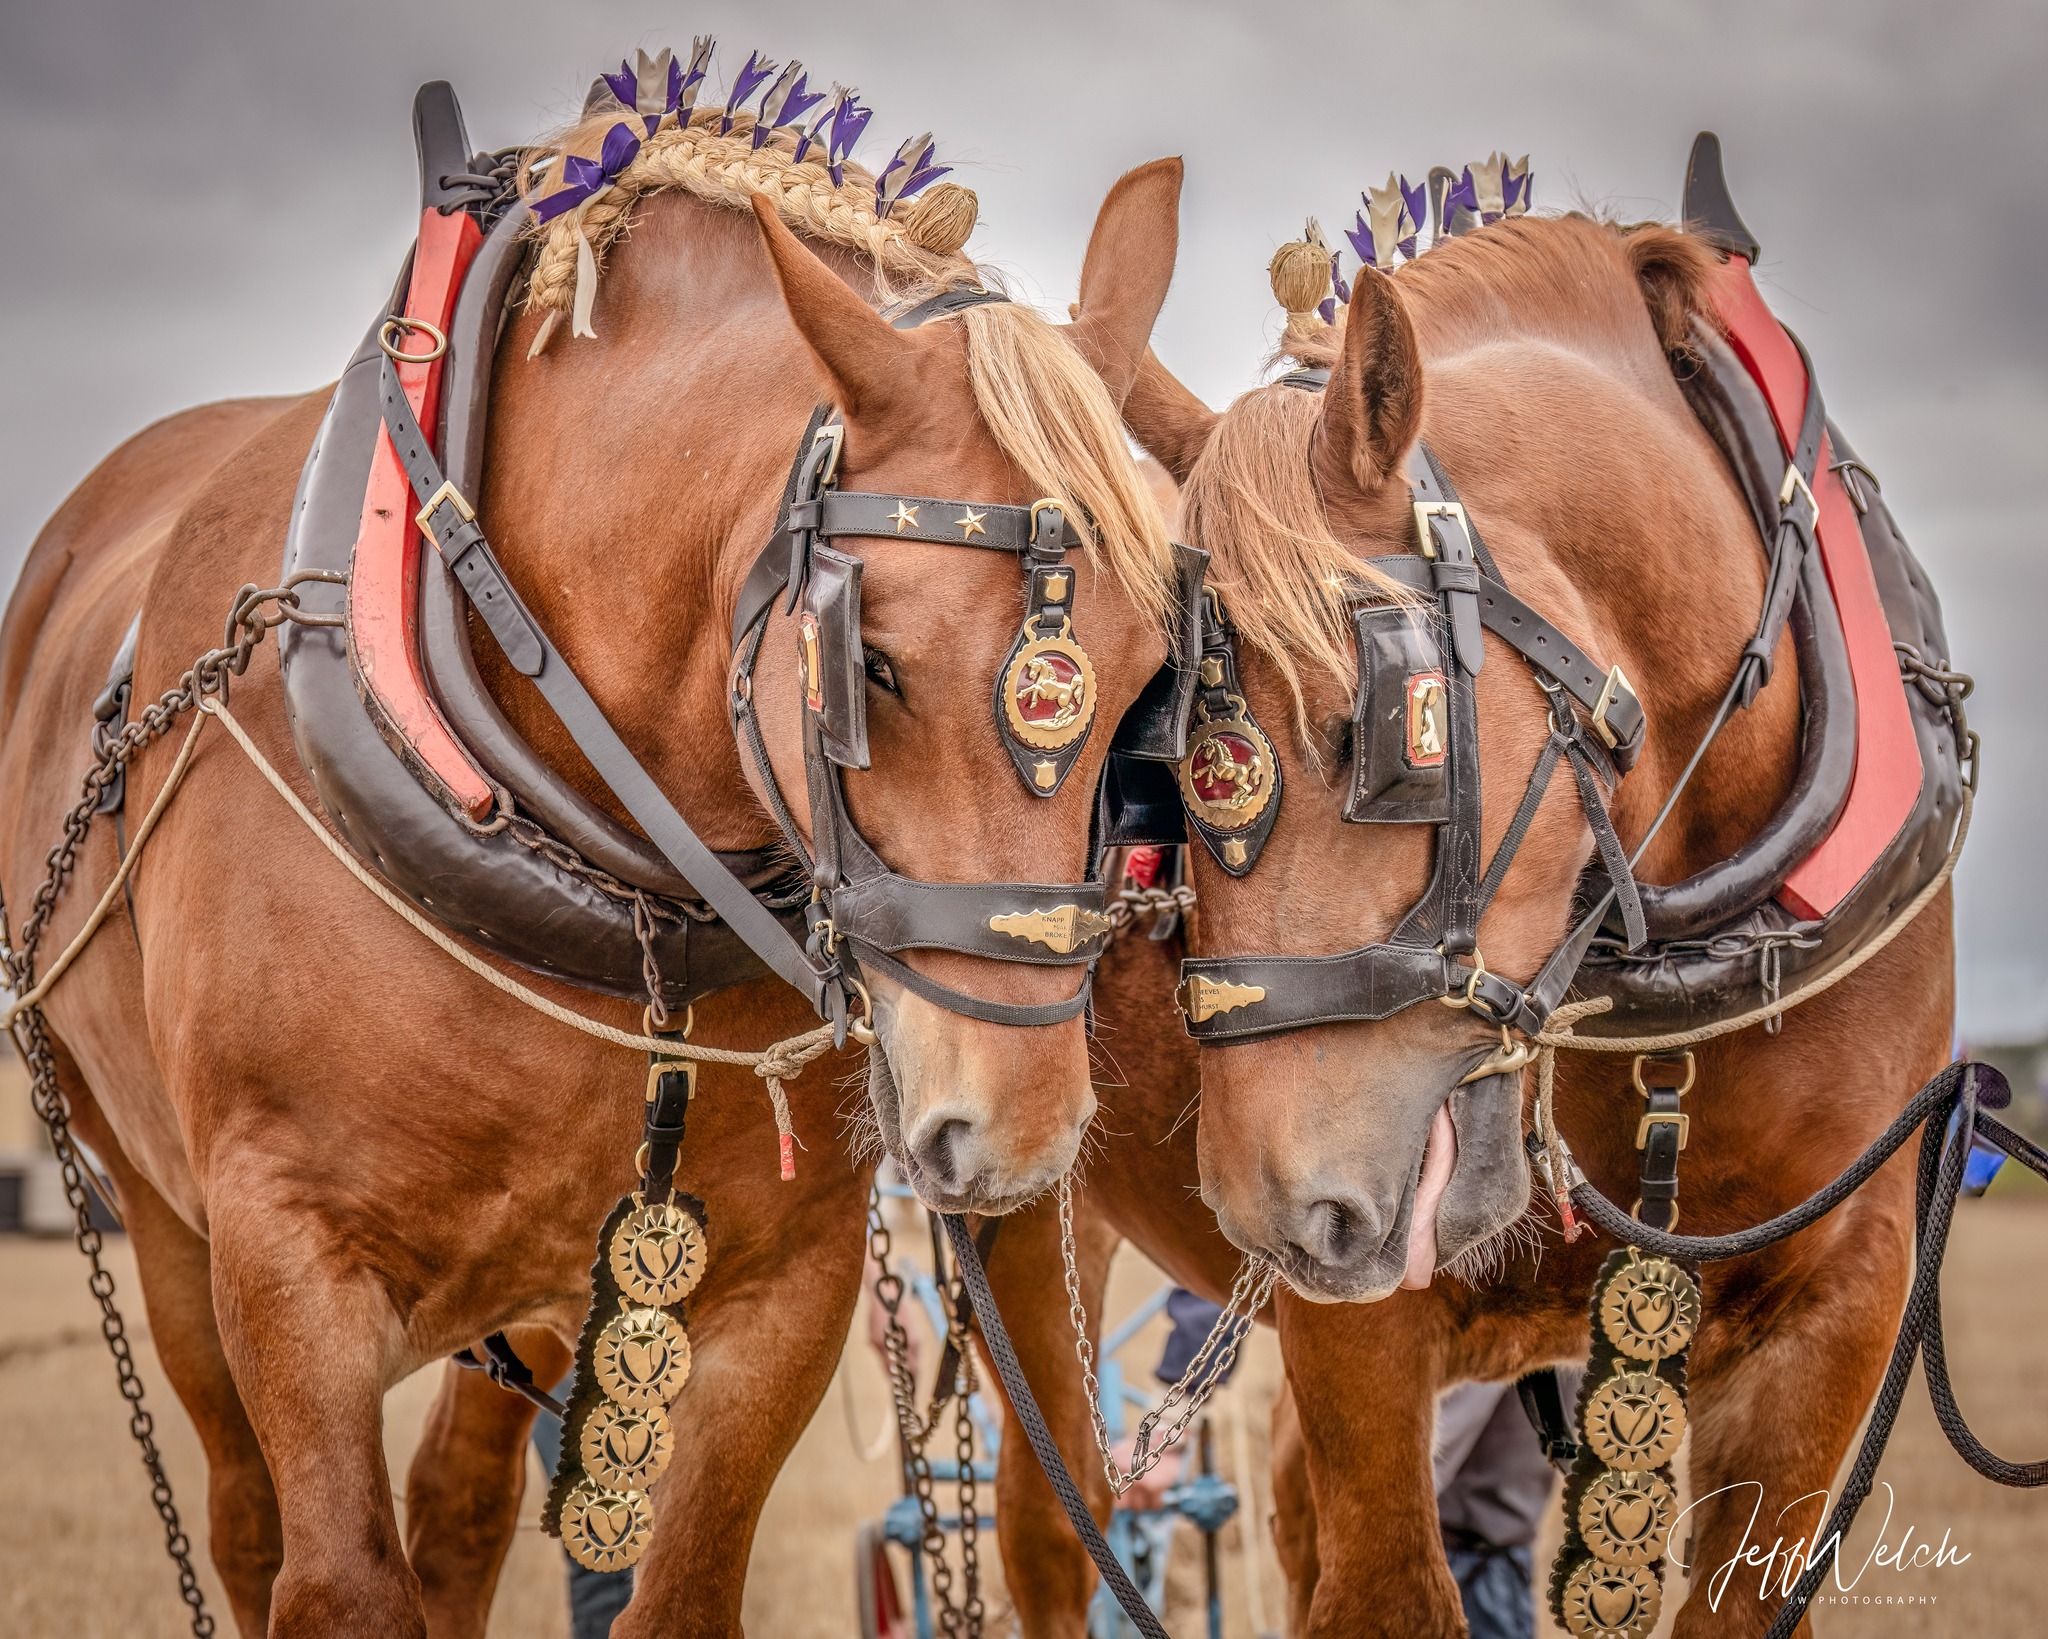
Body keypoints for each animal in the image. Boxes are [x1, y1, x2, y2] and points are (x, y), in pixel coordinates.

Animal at [0, 74, 1189, 1636]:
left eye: (1153, 674)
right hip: (160, 1219)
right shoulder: (286, 1258)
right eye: (868, 663)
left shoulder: (781, 1280)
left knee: (457, 1508)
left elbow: (669, 1585)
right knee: (251, 1525)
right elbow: (336, 1581)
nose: (1016, 1137)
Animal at [964, 207, 1956, 1638]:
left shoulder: (1845, 1301)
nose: (1273, 1211)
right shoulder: (1360, 1319)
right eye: (1152, 739)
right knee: (1055, 1524)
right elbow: (1386, 1591)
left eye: (1374, 728)